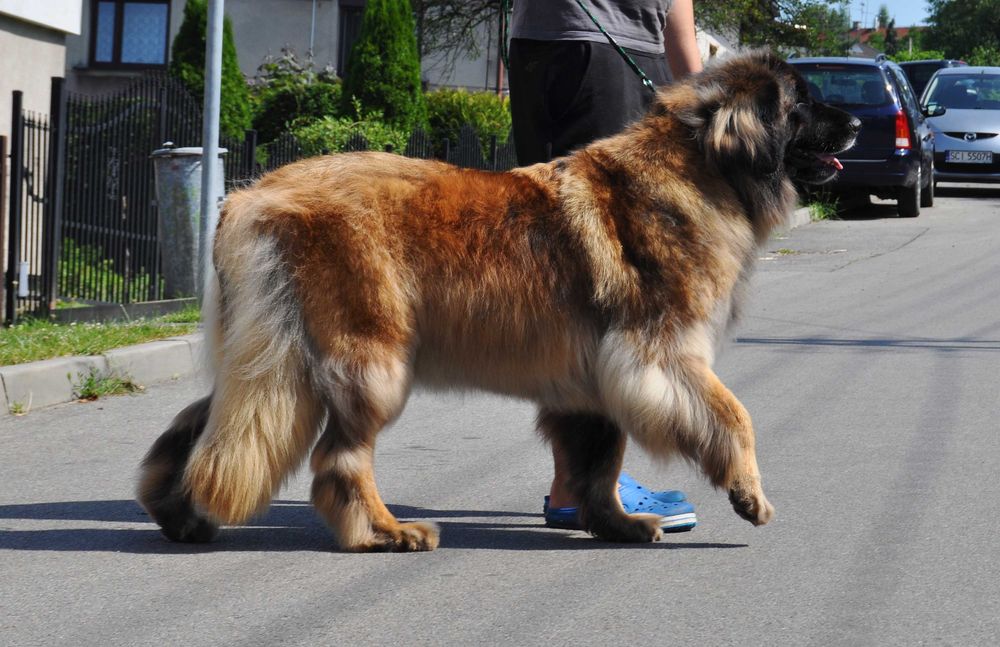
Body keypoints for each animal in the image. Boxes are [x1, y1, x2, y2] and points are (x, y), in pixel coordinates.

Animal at [139, 53, 860, 556]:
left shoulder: (595, 379)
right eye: (803, 101)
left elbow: (601, 459)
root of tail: (248, 197)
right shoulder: (660, 356)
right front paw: (749, 492)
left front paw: (616, 524)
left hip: (275, 356)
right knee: (337, 460)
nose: (857, 121)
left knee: (206, 426)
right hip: (368, 360)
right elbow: (734, 415)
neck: (703, 163)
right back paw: (385, 531)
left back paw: (179, 512)